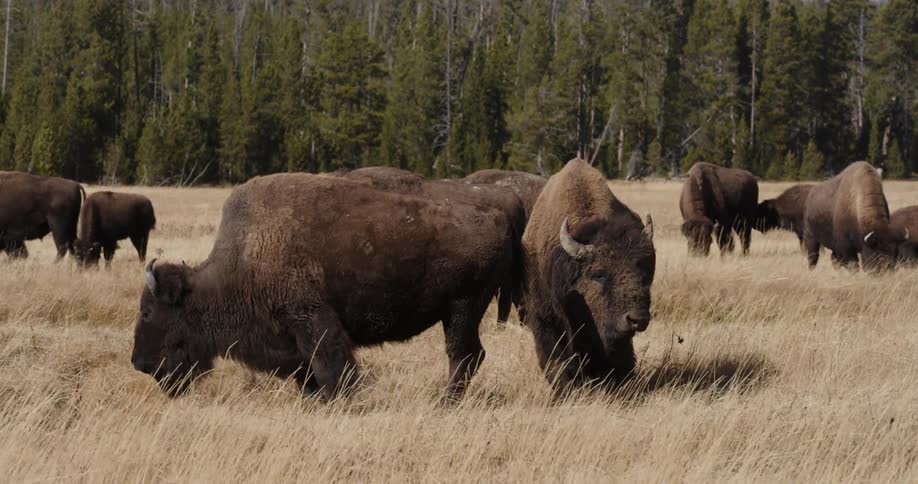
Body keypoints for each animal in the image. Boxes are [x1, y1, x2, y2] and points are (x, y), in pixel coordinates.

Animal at [131, 173, 514, 402]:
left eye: (148, 312)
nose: (139, 363)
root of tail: (496, 217)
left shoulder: (315, 323)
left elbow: (331, 368)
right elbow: (309, 374)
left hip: (461, 308)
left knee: (461, 355)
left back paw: (444, 401)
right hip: (462, 313)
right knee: (472, 354)